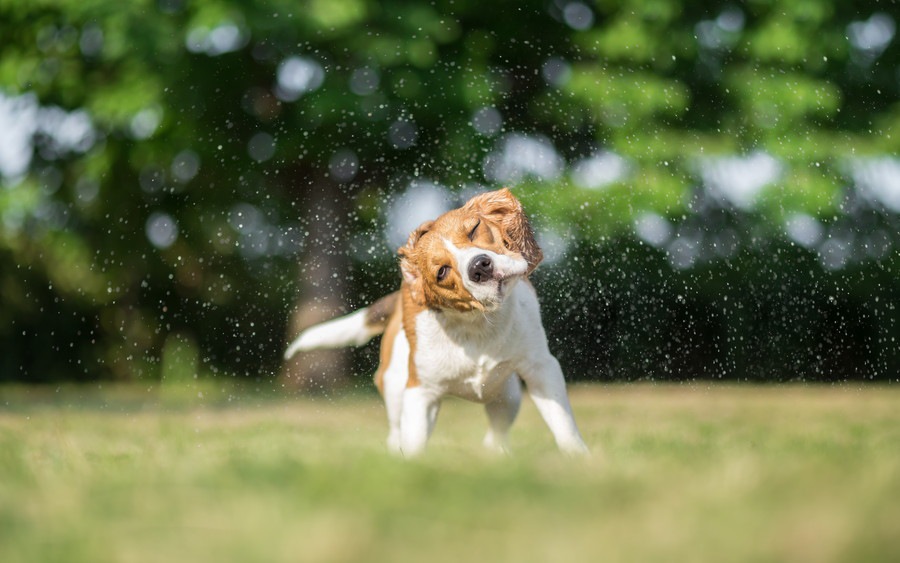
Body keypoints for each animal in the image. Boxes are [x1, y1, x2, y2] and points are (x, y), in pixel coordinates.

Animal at [284, 189, 588, 458]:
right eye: (441, 271)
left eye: (474, 229)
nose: (479, 267)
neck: (477, 325)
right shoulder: (420, 393)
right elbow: (414, 443)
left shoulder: (541, 368)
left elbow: (563, 425)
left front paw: (578, 458)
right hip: (395, 387)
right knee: (396, 433)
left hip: (508, 394)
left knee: (496, 432)